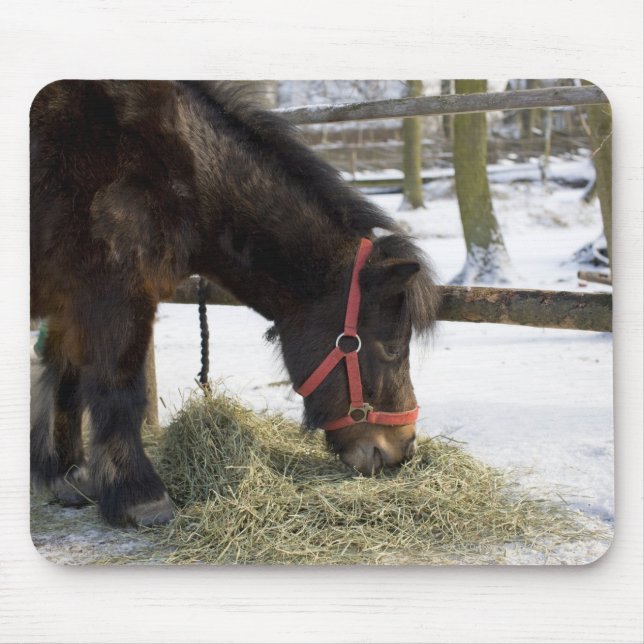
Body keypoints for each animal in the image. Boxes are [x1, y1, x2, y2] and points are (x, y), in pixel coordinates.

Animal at [30, 81, 440, 527]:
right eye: (392, 348)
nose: (403, 448)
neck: (174, 169)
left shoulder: (70, 302)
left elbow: (65, 377)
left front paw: (67, 476)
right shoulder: (114, 293)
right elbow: (119, 386)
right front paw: (139, 496)